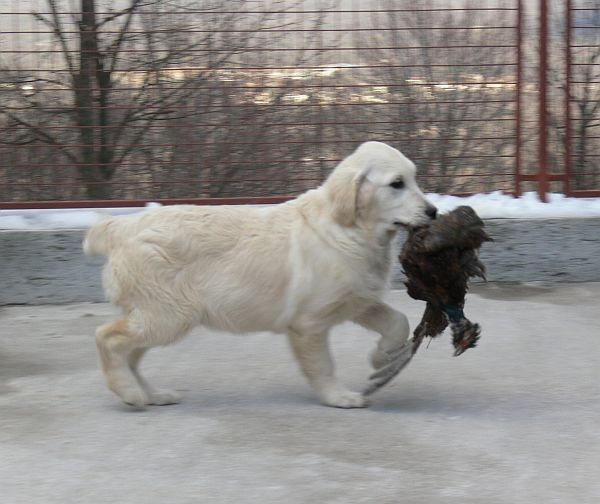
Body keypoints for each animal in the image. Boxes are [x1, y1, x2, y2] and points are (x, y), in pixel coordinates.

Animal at [83, 142, 436, 410]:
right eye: (396, 184)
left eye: (414, 179)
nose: (433, 211)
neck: (351, 230)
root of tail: (122, 226)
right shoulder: (309, 324)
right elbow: (323, 365)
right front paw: (339, 396)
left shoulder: (358, 300)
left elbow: (397, 322)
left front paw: (380, 359)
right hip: (168, 315)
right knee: (106, 337)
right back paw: (130, 392)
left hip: (157, 314)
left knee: (129, 353)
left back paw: (150, 394)